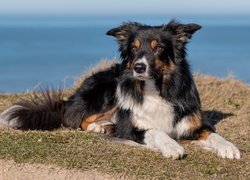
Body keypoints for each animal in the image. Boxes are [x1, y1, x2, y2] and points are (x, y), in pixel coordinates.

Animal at [0, 20, 240, 160]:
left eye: (159, 48)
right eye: (134, 48)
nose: (138, 67)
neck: (155, 88)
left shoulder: (194, 123)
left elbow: (214, 134)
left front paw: (229, 147)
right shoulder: (132, 129)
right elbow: (156, 131)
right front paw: (172, 147)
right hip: (109, 91)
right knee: (78, 119)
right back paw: (99, 127)